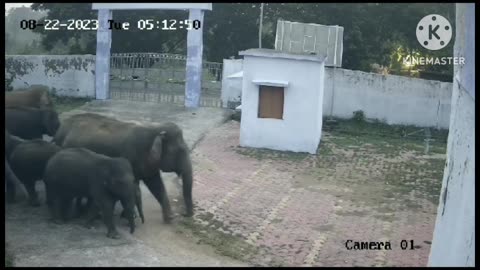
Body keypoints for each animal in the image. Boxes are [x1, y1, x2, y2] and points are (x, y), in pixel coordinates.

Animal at [53, 113, 193, 223]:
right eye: (179, 151)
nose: (184, 214)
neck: (154, 128)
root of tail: (59, 130)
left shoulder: (149, 164)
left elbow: (156, 185)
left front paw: (169, 219)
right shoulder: (131, 157)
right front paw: (129, 216)